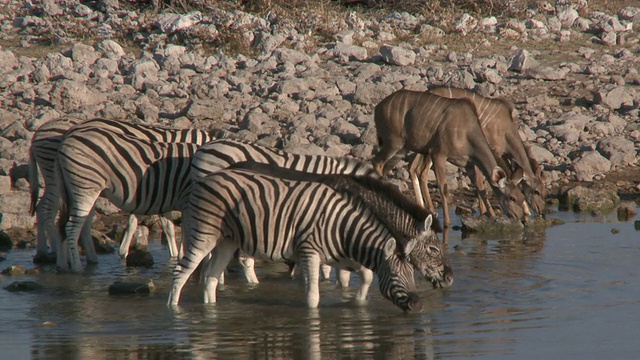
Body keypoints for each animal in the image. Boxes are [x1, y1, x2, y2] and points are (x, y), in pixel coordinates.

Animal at [28, 118, 219, 264]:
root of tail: (39, 132)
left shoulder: (153, 189)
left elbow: (141, 220)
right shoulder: (163, 186)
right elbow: (167, 225)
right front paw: (175, 254)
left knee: (50, 210)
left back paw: (51, 253)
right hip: (58, 177)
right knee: (50, 210)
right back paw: (57, 253)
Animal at [168, 166, 436, 312]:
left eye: (413, 274)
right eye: (395, 274)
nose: (419, 306)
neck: (343, 228)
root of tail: (205, 178)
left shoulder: (341, 256)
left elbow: (367, 277)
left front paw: (358, 303)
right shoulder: (310, 253)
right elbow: (313, 296)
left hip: (227, 241)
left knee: (211, 277)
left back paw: (210, 310)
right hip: (205, 232)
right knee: (182, 270)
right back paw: (173, 309)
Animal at [372, 88, 528, 226]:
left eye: (522, 197)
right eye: (512, 197)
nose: (522, 218)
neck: (467, 132)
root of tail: (377, 108)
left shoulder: (468, 164)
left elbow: (480, 189)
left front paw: (492, 215)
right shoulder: (438, 154)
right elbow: (443, 188)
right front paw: (446, 222)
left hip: (402, 149)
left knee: (386, 167)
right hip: (393, 143)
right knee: (377, 163)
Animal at [428, 86, 548, 217]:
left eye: (544, 191)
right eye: (536, 191)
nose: (542, 212)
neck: (506, 129)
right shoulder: (486, 151)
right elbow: (482, 181)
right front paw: (485, 211)